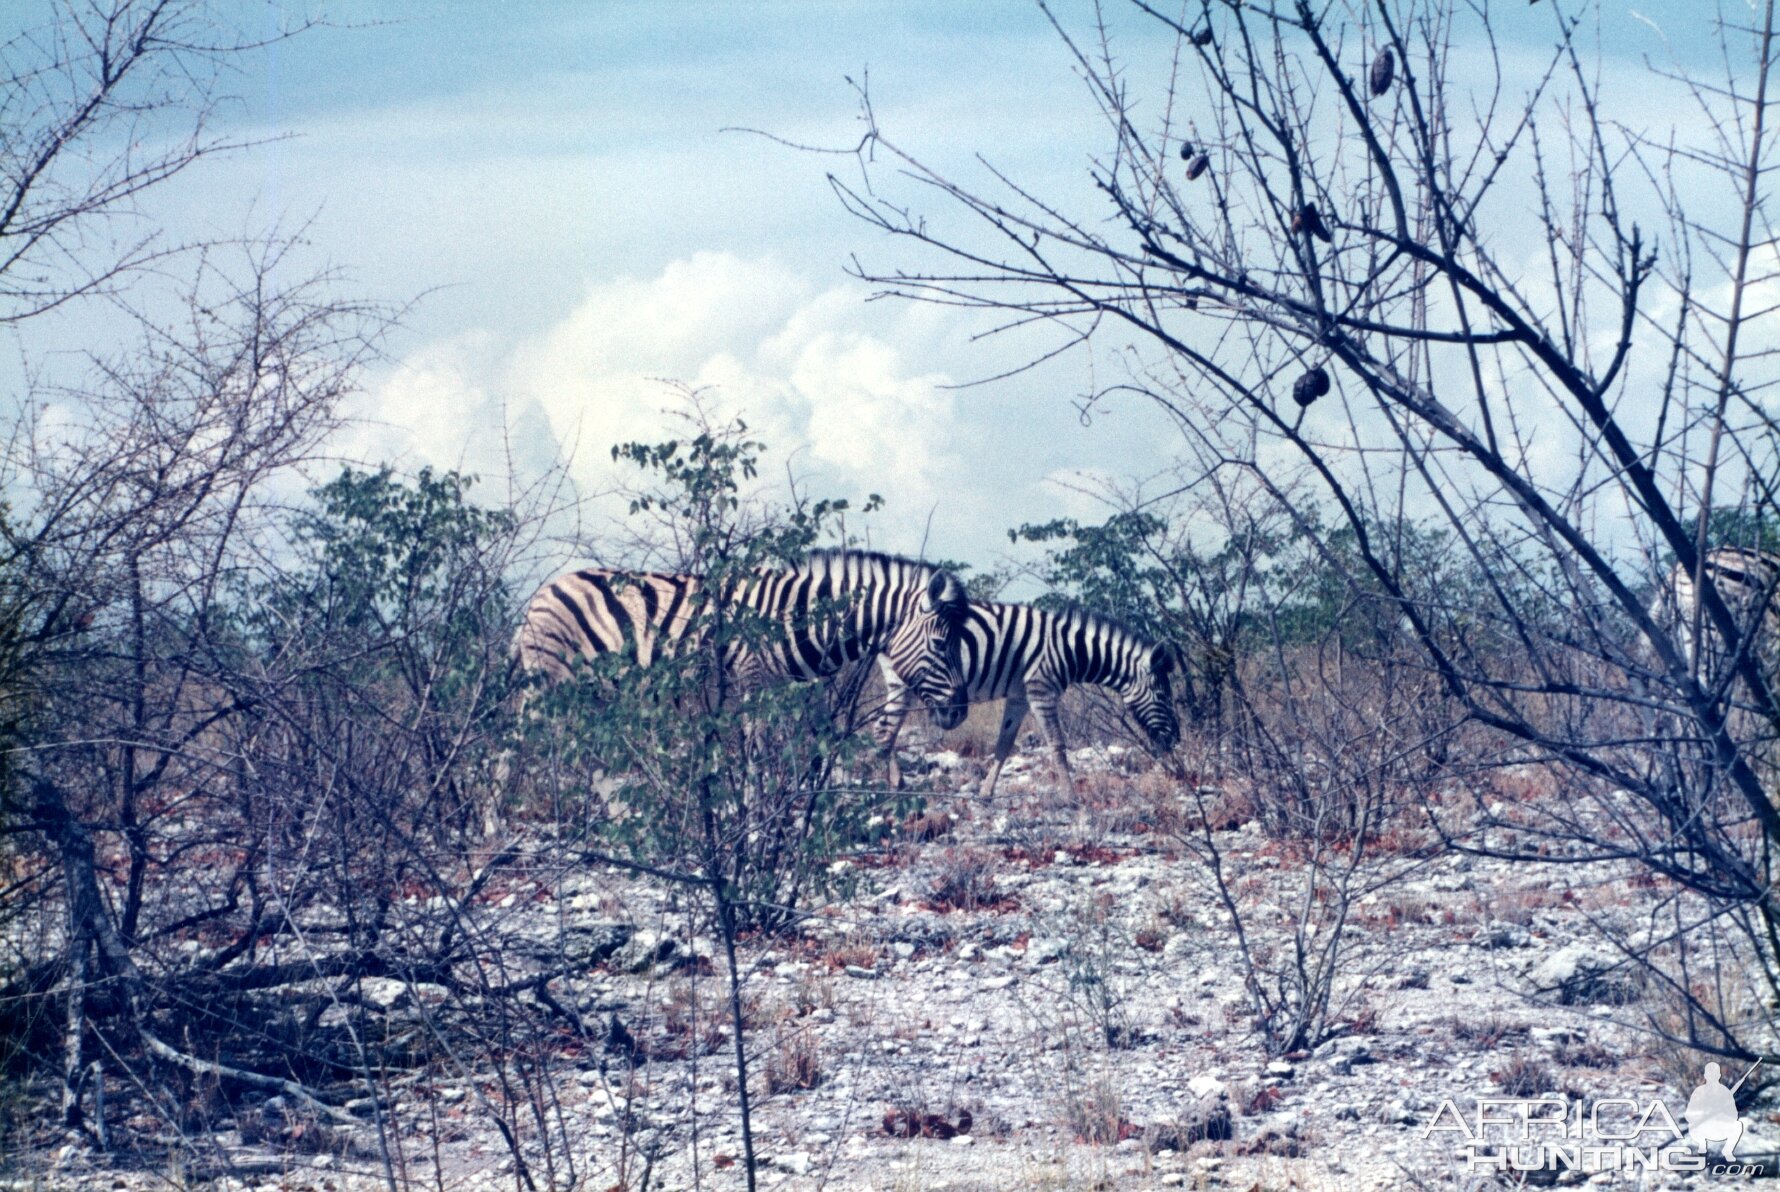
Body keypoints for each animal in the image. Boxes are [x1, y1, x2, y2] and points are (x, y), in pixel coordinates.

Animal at [516, 551, 975, 729]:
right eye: (941, 645)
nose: (960, 713)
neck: (794, 617)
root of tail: (541, 591)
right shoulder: (754, 685)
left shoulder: (790, 693)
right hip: (551, 680)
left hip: (587, 688)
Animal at [875, 601, 1181, 797]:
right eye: (1162, 696)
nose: (1176, 740)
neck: (1068, 651)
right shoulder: (1041, 691)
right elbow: (1057, 744)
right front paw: (1071, 798)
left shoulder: (1019, 697)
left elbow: (1005, 744)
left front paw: (986, 793)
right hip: (903, 681)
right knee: (884, 729)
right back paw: (887, 787)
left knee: (883, 728)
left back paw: (893, 783)